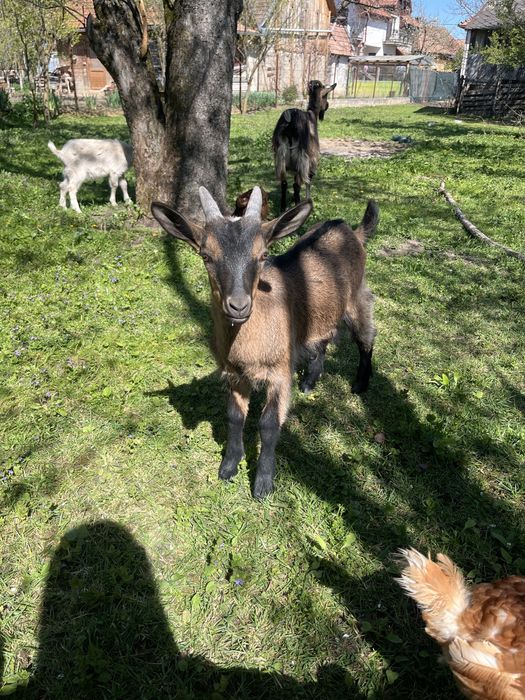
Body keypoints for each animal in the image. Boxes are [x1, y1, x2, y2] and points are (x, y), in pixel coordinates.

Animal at [152, 187, 378, 500]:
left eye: (263, 255)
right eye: (206, 255)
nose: (238, 305)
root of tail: (352, 231)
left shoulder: (279, 373)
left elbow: (269, 424)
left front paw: (263, 484)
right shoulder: (234, 374)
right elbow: (235, 416)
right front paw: (228, 466)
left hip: (356, 296)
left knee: (366, 335)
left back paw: (360, 384)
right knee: (322, 339)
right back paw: (310, 382)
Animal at [272, 80, 336, 213]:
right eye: (325, 96)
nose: (326, 105)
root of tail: (289, 123)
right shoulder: (312, 160)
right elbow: (308, 181)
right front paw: (308, 200)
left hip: (281, 157)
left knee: (284, 183)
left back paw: (283, 208)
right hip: (302, 157)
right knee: (297, 184)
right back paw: (298, 206)